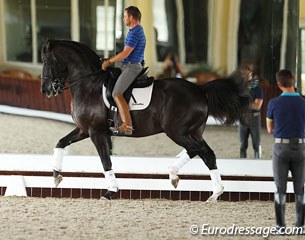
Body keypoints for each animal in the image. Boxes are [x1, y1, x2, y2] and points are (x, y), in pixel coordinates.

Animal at [40, 39, 249, 201]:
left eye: (48, 60)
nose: (45, 90)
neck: (88, 84)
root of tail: (200, 89)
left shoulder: (95, 132)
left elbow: (106, 161)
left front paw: (110, 191)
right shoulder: (84, 129)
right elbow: (60, 143)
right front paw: (56, 175)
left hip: (177, 131)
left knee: (199, 150)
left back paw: (179, 176)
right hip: (193, 131)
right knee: (205, 153)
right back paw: (211, 191)